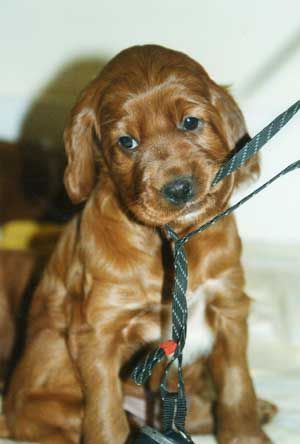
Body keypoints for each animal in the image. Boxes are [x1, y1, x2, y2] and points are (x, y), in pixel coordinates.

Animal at [1, 46, 274, 444]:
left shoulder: (229, 305)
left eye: (190, 122)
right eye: (126, 142)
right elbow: (106, 415)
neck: (175, 239)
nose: (179, 189)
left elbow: (238, 387)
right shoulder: (99, 330)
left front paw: (247, 433)